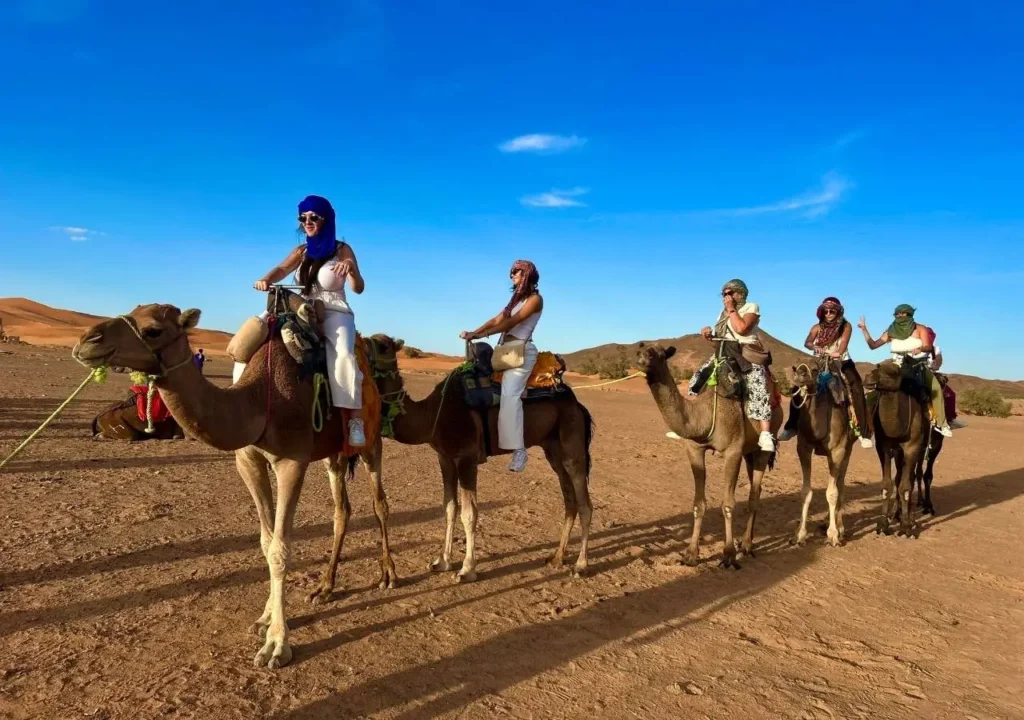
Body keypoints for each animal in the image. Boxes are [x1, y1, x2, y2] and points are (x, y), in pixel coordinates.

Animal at [73, 303, 397, 670]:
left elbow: (281, 550)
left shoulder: (292, 462)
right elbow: (266, 543)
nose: (87, 340)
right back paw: (324, 588)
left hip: (371, 439)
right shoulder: (248, 461)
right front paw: (265, 619)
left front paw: (277, 645)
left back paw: (388, 575)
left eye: (153, 330)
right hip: (334, 452)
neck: (259, 400)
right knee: (341, 510)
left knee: (380, 502)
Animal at [362, 334, 595, 580]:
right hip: (553, 449)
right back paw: (557, 558)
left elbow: (469, 512)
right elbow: (449, 508)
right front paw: (442, 562)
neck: (433, 414)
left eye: (383, 346)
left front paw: (467, 569)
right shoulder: (445, 458)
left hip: (572, 444)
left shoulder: (467, 458)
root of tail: (577, 404)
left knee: (585, 504)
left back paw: (580, 566)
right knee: (569, 501)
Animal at [635, 344, 782, 568]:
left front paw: (728, 555)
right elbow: (698, 504)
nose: (642, 361)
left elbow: (728, 505)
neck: (703, 414)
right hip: (749, 452)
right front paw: (690, 554)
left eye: (659, 354)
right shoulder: (695, 449)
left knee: (754, 493)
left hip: (764, 445)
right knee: (755, 488)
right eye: (640, 351)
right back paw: (745, 541)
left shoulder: (733, 451)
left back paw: (747, 546)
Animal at [787, 358, 855, 548]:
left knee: (841, 485)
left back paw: (840, 527)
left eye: (815, 369)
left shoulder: (838, 450)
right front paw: (799, 535)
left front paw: (833, 536)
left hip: (848, 449)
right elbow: (806, 492)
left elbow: (832, 493)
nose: (800, 374)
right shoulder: (803, 447)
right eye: (795, 366)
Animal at [864, 360, 929, 537]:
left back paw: (912, 515)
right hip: (899, 454)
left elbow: (905, 487)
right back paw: (896, 513)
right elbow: (887, 485)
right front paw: (882, 524)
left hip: (922, 449)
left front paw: (906, 527)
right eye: (878, 365)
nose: (869, 376)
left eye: (893, 373)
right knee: (900, 476)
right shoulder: (883, 447)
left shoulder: (912, 448)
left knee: (915, 476)